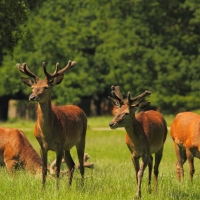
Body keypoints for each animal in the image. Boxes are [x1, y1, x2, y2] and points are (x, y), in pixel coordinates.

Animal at [16, 60, 87, 189]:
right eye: (33, 88)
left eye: (45, 87)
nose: (32, 97)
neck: (47, 134)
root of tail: (79, 109)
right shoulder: (42, 146)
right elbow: (44, 169)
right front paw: (42, 189)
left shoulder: (59, 145)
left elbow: (57, 170)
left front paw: (56, 190)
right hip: (67, 147)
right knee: (72, 165)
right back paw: (68, 188)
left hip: (81, 138)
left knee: (81, 165)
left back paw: (82, 187)